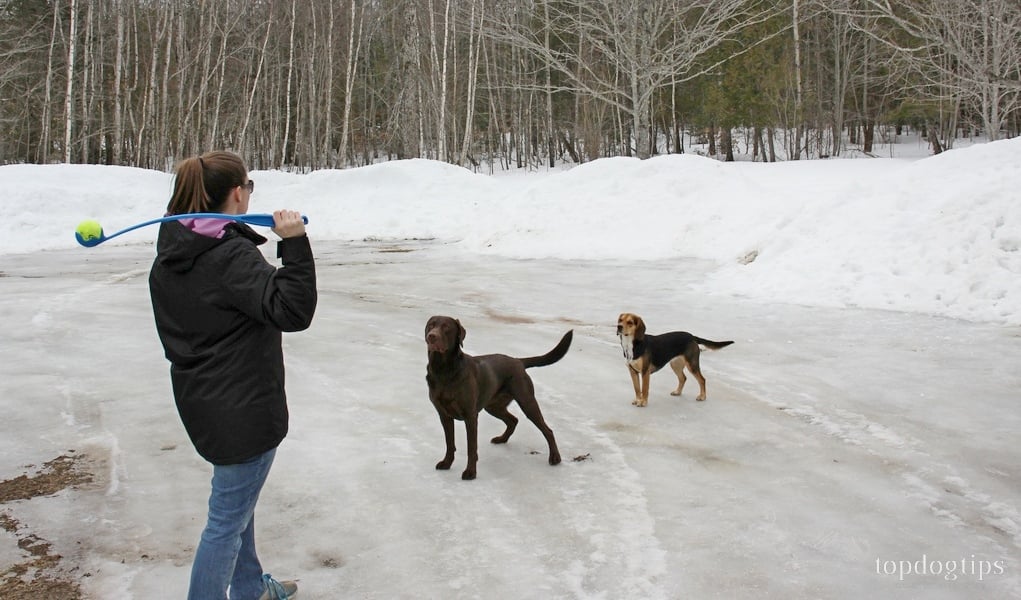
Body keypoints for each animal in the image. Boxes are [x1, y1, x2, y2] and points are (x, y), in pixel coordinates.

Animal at [418, 316, 571, 479]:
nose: (431, 336)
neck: (443, 370)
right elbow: (449, 443)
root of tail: (518, 361)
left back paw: (555, 457)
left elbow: (471, 447)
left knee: (547, 430)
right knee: (513, 420)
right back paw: (502, 439)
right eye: (431, 325)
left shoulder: (470, 416)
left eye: (446, 327)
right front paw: (447, 463)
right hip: (492, 406)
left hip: (527, 401)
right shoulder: (444, 415)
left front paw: (470, 472)